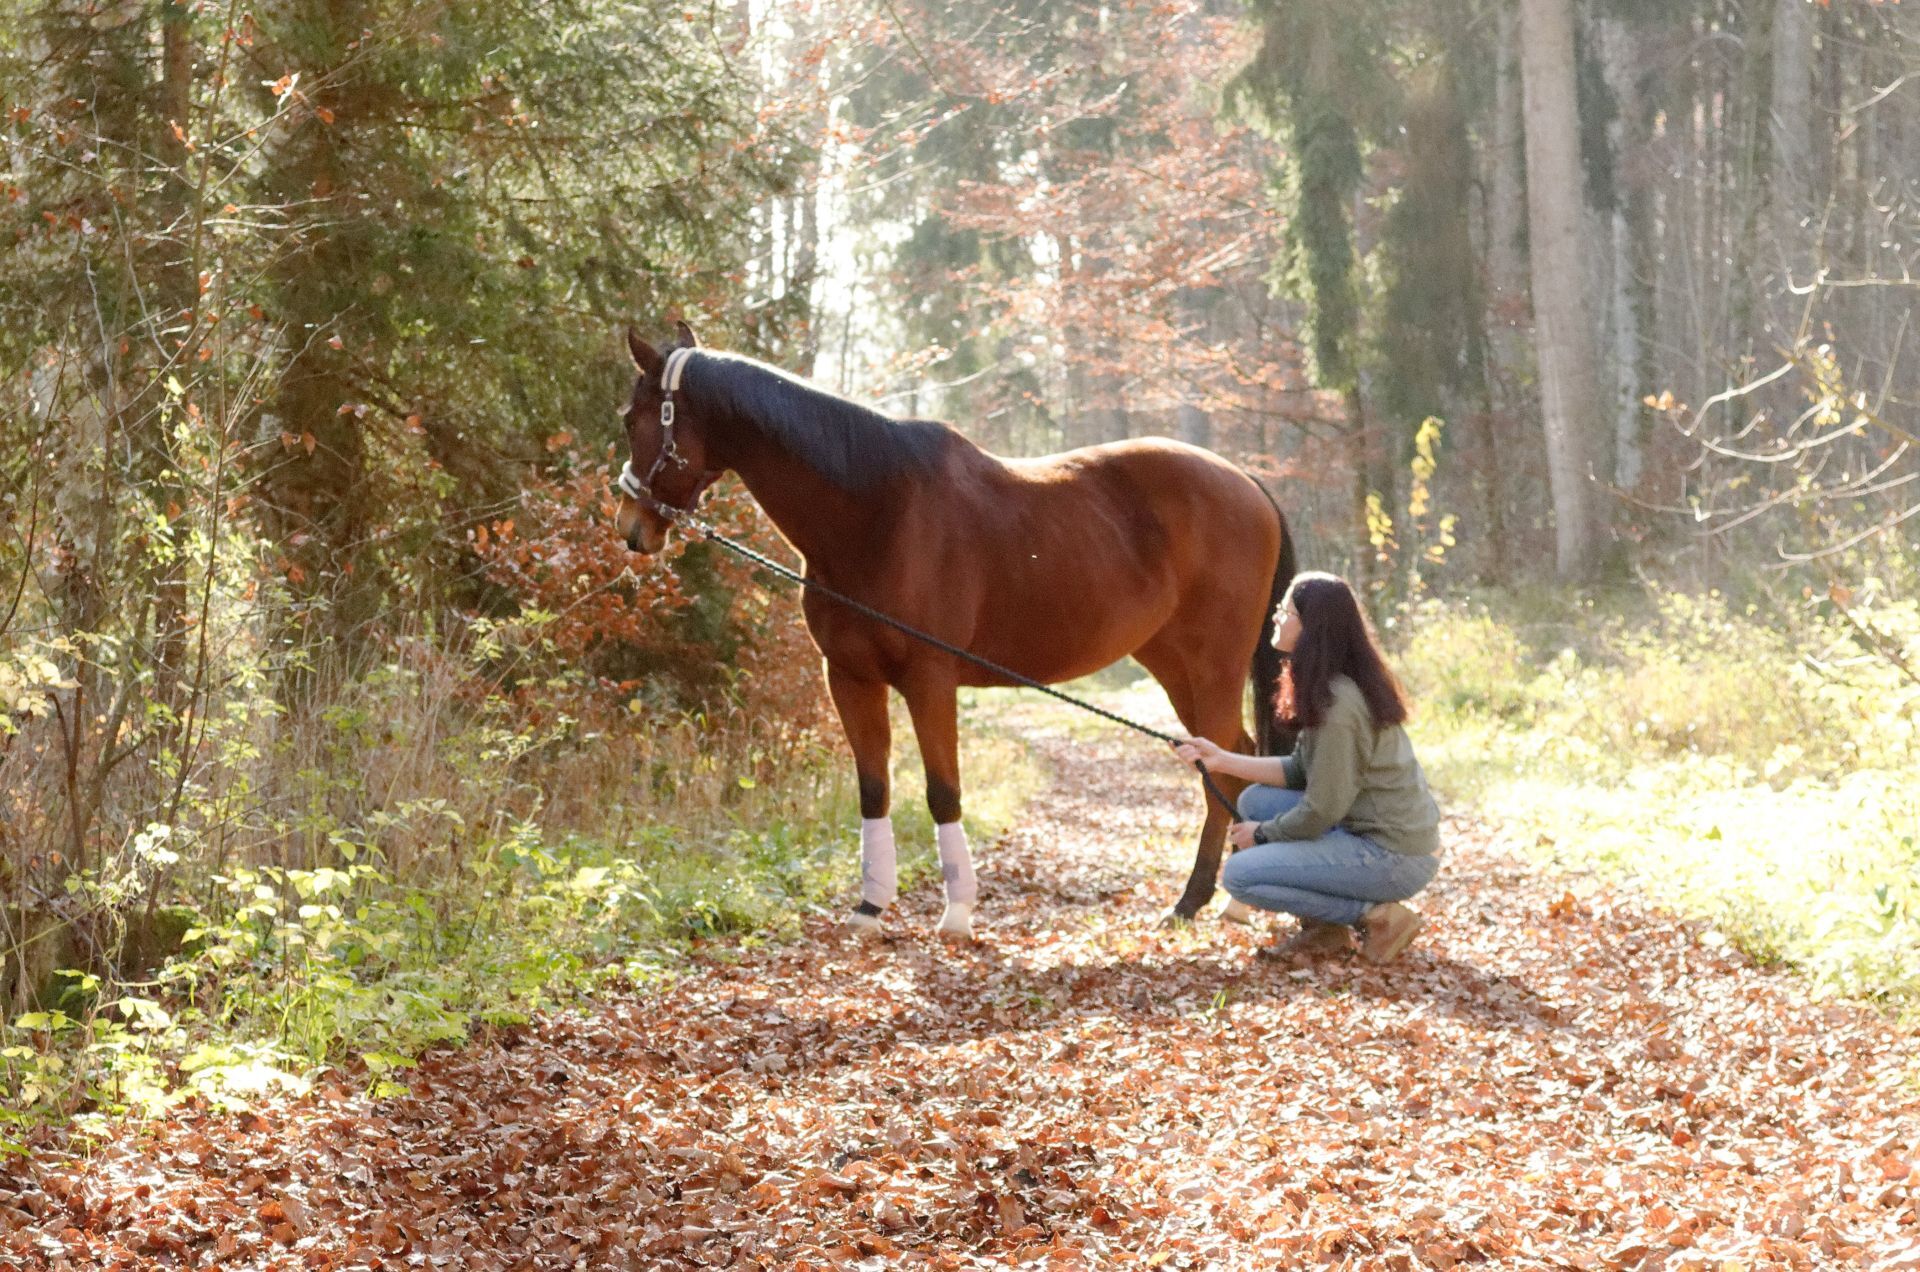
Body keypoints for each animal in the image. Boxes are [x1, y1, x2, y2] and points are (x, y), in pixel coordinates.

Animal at [612, 322, 1297, 939]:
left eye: (630, 418)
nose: (631, 528)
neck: (876, 513)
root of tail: (1248, 484)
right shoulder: (850, 678)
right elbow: (874, 788)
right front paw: (870, 908)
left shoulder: (930, 679)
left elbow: (943, 791)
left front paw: (958, 914)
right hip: (1173, 663)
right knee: (1229, 755)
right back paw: (1216, 901)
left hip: (1211, 665)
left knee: (1225, 762)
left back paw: (1207, 901)